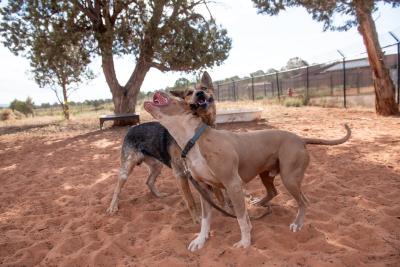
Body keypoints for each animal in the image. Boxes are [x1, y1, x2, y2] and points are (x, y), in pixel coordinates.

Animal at [107, 71, 216, 224]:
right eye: (189, 92)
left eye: (204, 88)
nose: (200, 93)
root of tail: (131, 129)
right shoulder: (181, 174)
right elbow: (190, 201)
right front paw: (197, 220)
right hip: (126, 169)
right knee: (117, 188)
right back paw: (113, 206)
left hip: (156, 165)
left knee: (149, 181)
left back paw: (159, 195)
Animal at [144, 91, 350, 251]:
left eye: (177, 97)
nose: (157, 90)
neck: (193, 140)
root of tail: (300, 138)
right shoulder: (205, 189)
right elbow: (205, 220)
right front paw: (200, 240)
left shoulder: (232, 184)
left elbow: (241, 218)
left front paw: (245, 242)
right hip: (266, 174)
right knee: (273, 192)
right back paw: (260, 204)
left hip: (289, 177)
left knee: (304, 201)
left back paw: (297, 224)